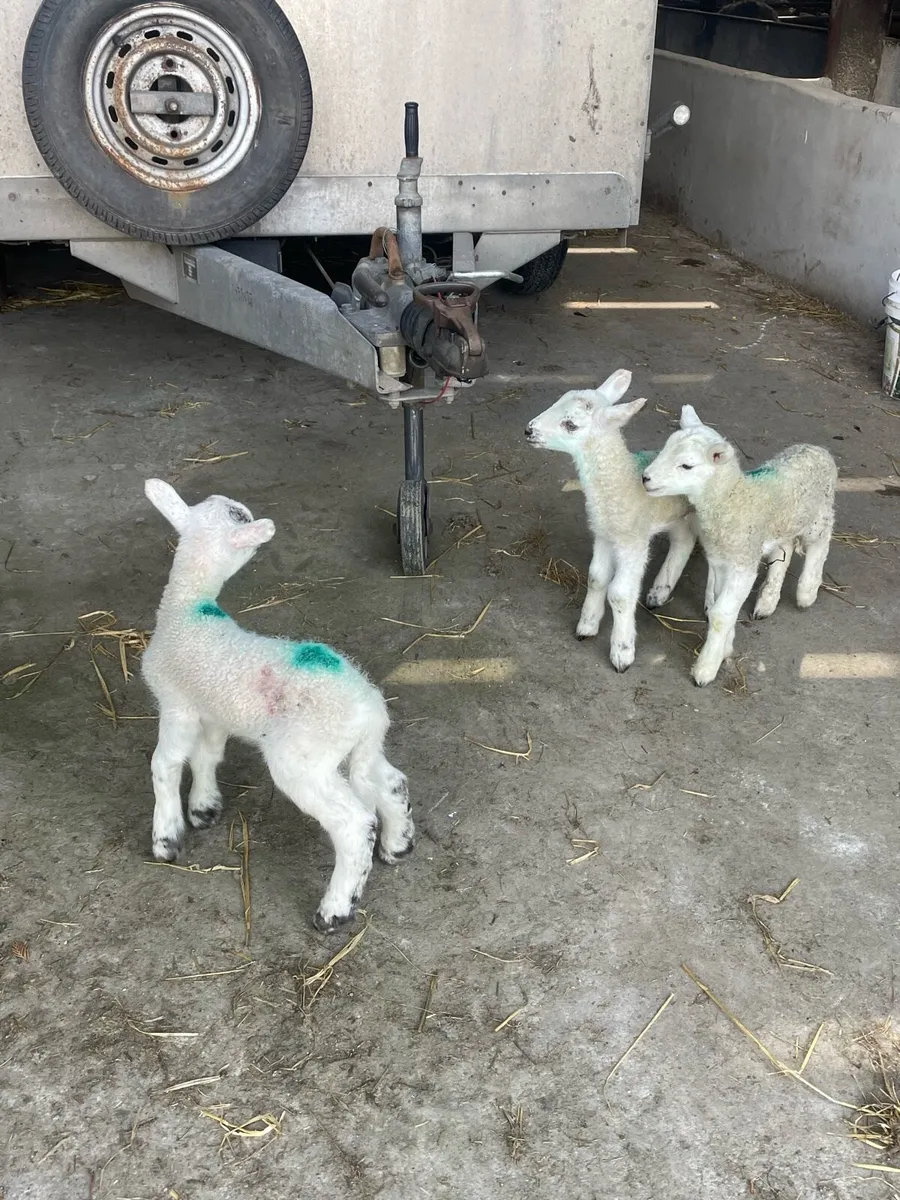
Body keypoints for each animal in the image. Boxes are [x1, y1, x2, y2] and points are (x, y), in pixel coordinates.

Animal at [141, 479, 414, 932]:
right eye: (236, 514)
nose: (248, 511)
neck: (189, 610)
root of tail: (371, 711)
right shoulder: (214, 710)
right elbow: (206, 756)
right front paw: (203, 808)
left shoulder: (177, 702)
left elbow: (165, 764)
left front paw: (166, 838)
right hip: (357, 751)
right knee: (392, 783)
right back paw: (399, 845)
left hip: (303, 760)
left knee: (354, 824)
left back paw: (335, 910)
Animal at [525, 369, 697, 672]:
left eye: (570, 424)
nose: (528, 430)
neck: (620, 483)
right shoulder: (604, 534)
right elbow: (596, 578)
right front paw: (587, 626)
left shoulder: (633, 541)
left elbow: (619, 593)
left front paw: (622, 651)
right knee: (683, 540)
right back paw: (660, 591)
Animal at [641, 405, 837, 687]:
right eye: (665, 448)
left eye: (687, 465)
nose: (645, 478)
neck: (733, 499)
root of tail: (816, 448)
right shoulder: (723, 561)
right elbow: (719, 607)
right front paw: (725, 647)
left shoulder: (743, 564)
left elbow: (721, 614)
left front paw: (706, 668)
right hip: (783, 522)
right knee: (785, 549)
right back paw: (767, 601)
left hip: (818, 515)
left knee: (821, 542)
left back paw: (807, 591)